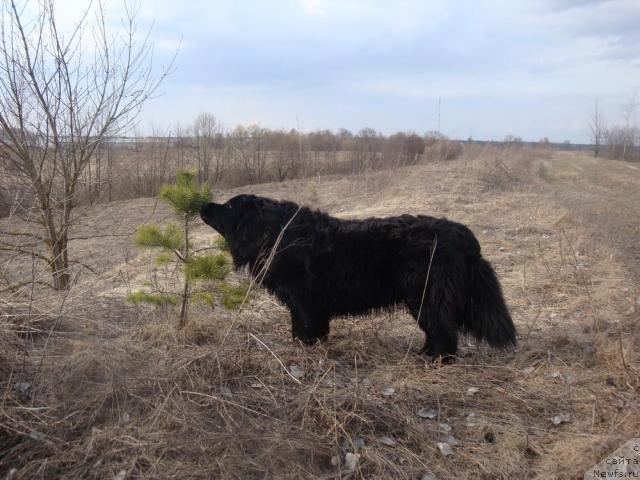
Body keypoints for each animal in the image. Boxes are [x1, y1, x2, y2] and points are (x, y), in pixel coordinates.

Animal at [200, 194, 516, 356]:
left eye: (228, 206)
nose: (203, 204)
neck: (276, 232)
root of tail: (466, 237)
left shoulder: (303, 300)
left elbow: (305, 326)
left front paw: (304, 345)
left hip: (426, 295)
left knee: (442, 331)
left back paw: (433, 357)